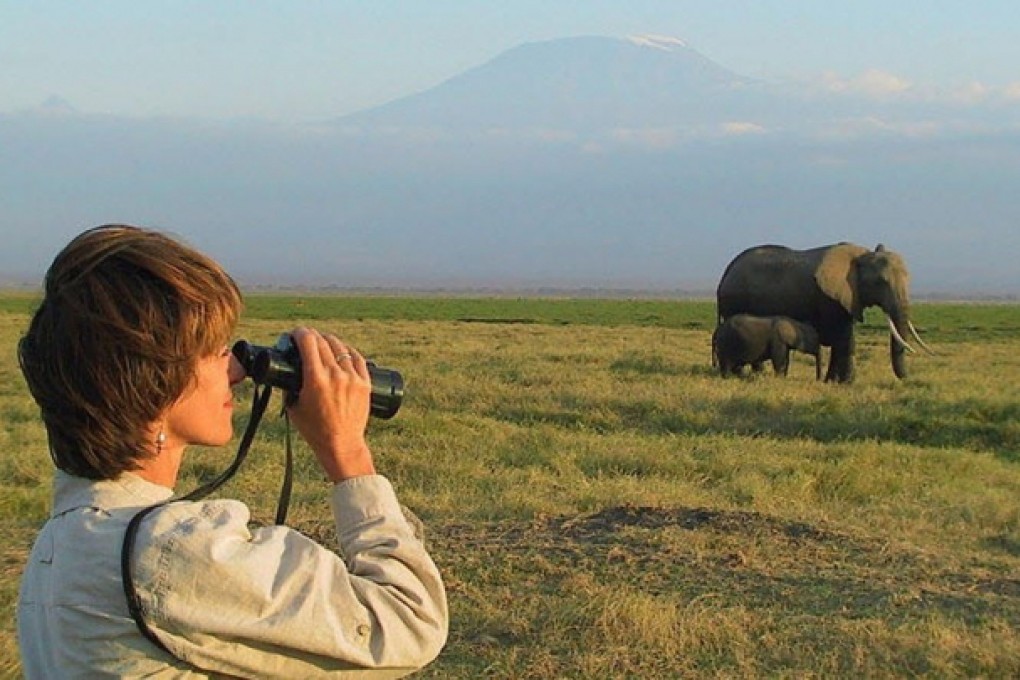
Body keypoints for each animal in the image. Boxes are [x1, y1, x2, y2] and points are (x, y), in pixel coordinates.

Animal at [716, 242, 932, 383]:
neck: (861, 255)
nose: (908, 379)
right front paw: (846, 383)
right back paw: (750, 375)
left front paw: (833, 382)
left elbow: (843, 337)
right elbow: (844, 338)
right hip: (734, 300)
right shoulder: (831, 298)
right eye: (881, 282)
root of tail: (724, 275)